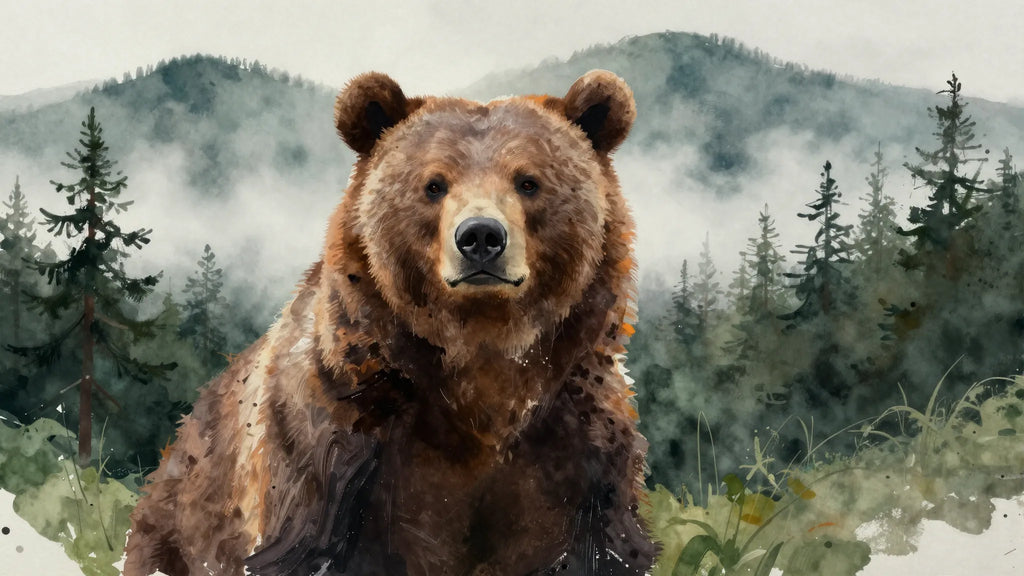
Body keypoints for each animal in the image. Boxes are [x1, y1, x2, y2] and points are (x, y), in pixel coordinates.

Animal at [123, 69, 655, 576]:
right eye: (434, 184)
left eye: (528, 181)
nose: (481, 237)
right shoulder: (336, 441)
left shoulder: (579, 449)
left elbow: (603, 547)